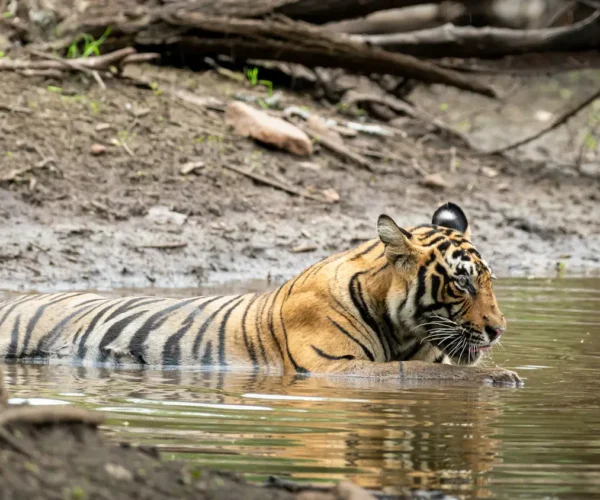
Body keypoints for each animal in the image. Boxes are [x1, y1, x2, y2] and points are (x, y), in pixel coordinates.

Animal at [0, 203, 520, 386]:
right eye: (462, 282)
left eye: (488, 280)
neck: (404, 328)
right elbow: (422, 374)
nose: (499, 330)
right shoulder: (334, 367)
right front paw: (503, 377)